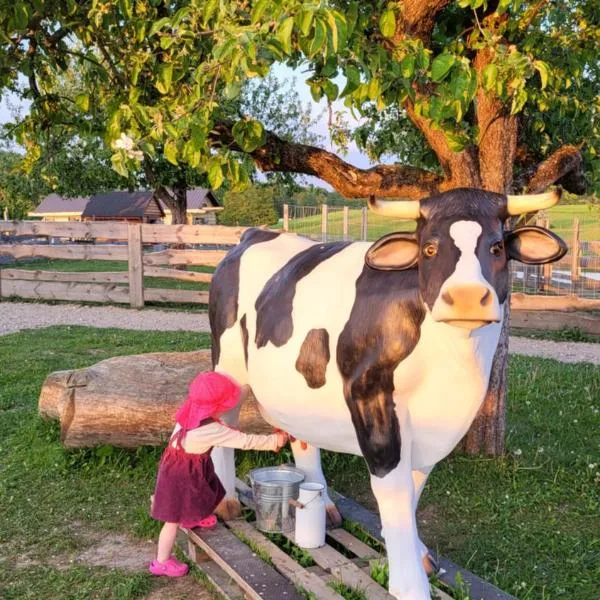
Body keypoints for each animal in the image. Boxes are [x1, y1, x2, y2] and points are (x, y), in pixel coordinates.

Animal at [209, 189, 564, 600]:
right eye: (429, 248)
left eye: (497, 247)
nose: (466, 296)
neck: (453, 370)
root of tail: (253, 234)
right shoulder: (370, 396)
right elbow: (393, 489)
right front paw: (409, 582)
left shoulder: (436, 422)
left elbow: (414, 486)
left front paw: (417, 553)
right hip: (227, 366)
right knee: (219, 423)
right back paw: (225, 501)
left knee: (303, 437)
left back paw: (324, 506)